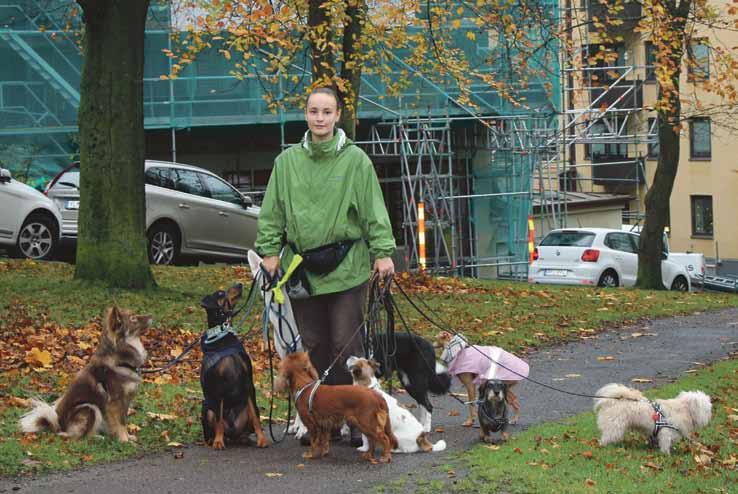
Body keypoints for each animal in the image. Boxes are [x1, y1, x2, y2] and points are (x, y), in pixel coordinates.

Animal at [19, 306, 151, 442]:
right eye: (133, 318)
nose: (151, 316)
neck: (120, 362)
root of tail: (59, 427)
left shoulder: (125, 401)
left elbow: (123, 420)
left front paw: (128, 437)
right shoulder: (115, 402)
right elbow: (120, 423)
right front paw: (124, 440)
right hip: (90, 407)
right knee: (77, 437)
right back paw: (95, 437)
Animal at [198, 284, 268, 450]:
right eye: (220, 293)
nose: (240, 284)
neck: (223, 337)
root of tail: (232, 434)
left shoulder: (249, 382)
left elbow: (256, 418)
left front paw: (262, 439)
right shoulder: (217, 387)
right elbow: (218, 421)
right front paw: (218, 441)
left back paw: (244, 438)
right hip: (206, 407)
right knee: (214, 424)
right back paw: (214, 440)